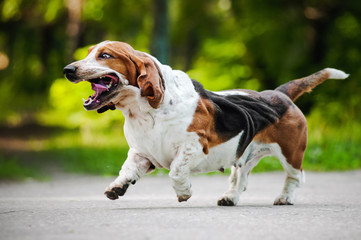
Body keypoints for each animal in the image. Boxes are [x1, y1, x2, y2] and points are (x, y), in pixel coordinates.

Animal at [63, 40, 348, 205]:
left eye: (105, 55)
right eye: (88, 54)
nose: (68, 70)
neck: (144, 111)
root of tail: (279, 94)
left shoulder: (194, 146)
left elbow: (176, 171)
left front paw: (184, 193)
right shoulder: (142, 153)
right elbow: (127, 170)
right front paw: (117, 187)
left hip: (291, 153)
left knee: (295, 176)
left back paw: (284, 197)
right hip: (244, 156)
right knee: (240, 179)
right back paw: (230, 198)